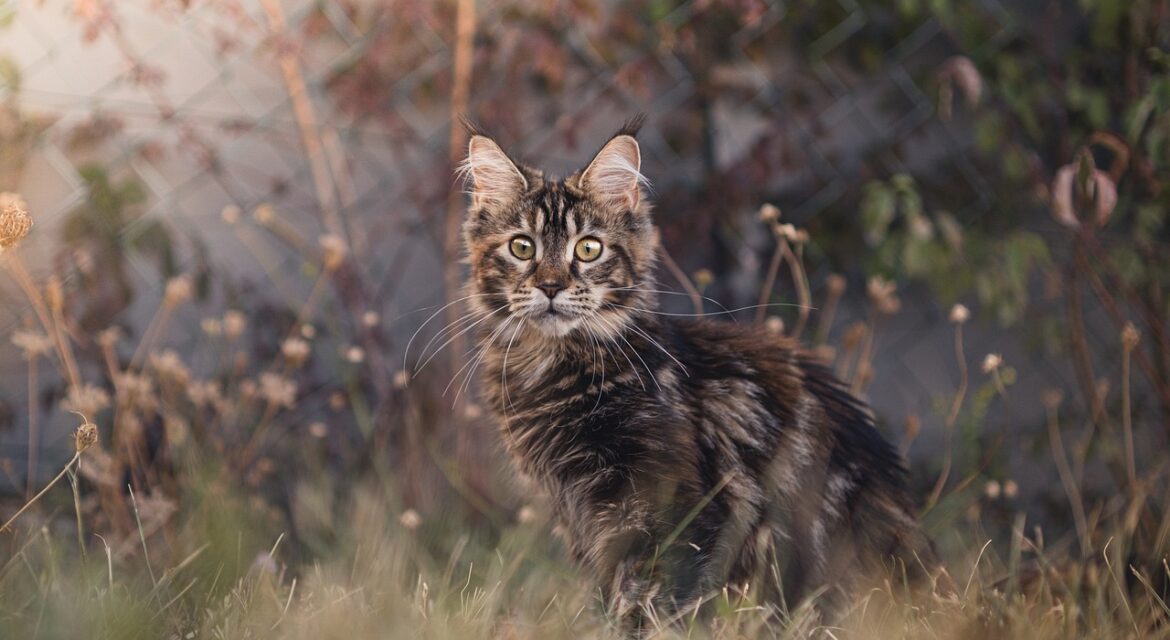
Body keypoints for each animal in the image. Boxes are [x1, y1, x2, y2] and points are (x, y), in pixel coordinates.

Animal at [458, 117, 940, 627]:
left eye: (588, 249)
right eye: (521, 247)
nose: (550, 286)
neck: (554, 370)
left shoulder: (672, 506)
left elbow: (651, 598)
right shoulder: (580, 516)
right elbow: (611, 594)